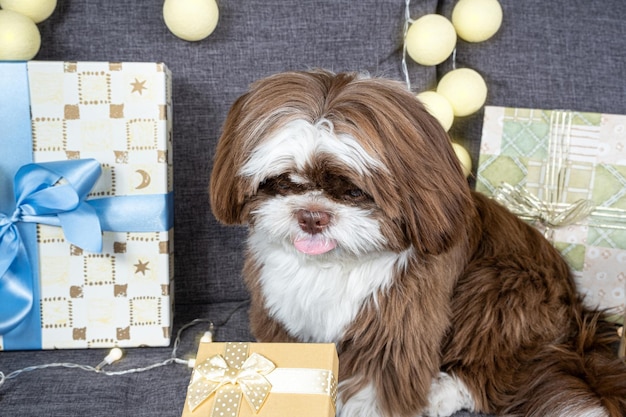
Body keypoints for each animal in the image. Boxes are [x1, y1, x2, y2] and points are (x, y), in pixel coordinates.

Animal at [208, 70, 624, 414]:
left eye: (353, 190)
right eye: (283, 181)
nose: (312, 216)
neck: (336, 263)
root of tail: (577, 310)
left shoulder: (396, 326)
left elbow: (377, 384)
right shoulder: (285, 312)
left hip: (499, 289)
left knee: (491, 369)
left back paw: (443, 393)